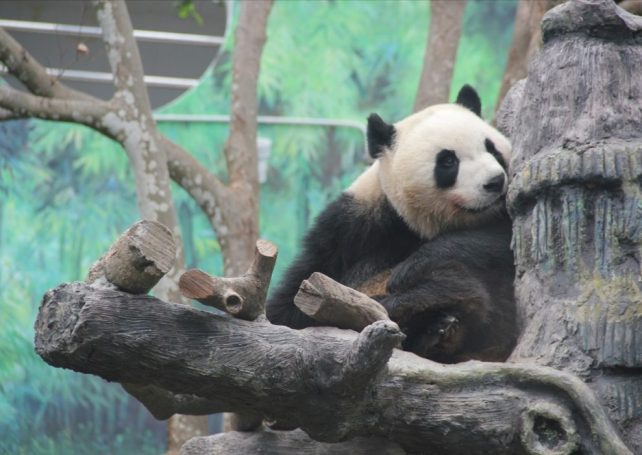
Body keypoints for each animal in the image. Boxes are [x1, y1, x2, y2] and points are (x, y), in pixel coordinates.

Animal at [266, 85, 516, 363]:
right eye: (448, 161)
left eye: (492, 148)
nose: (495, 182)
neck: (421, 225)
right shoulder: (352, 228)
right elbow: (296, 299)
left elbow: (497, 241)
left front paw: (414, 268)